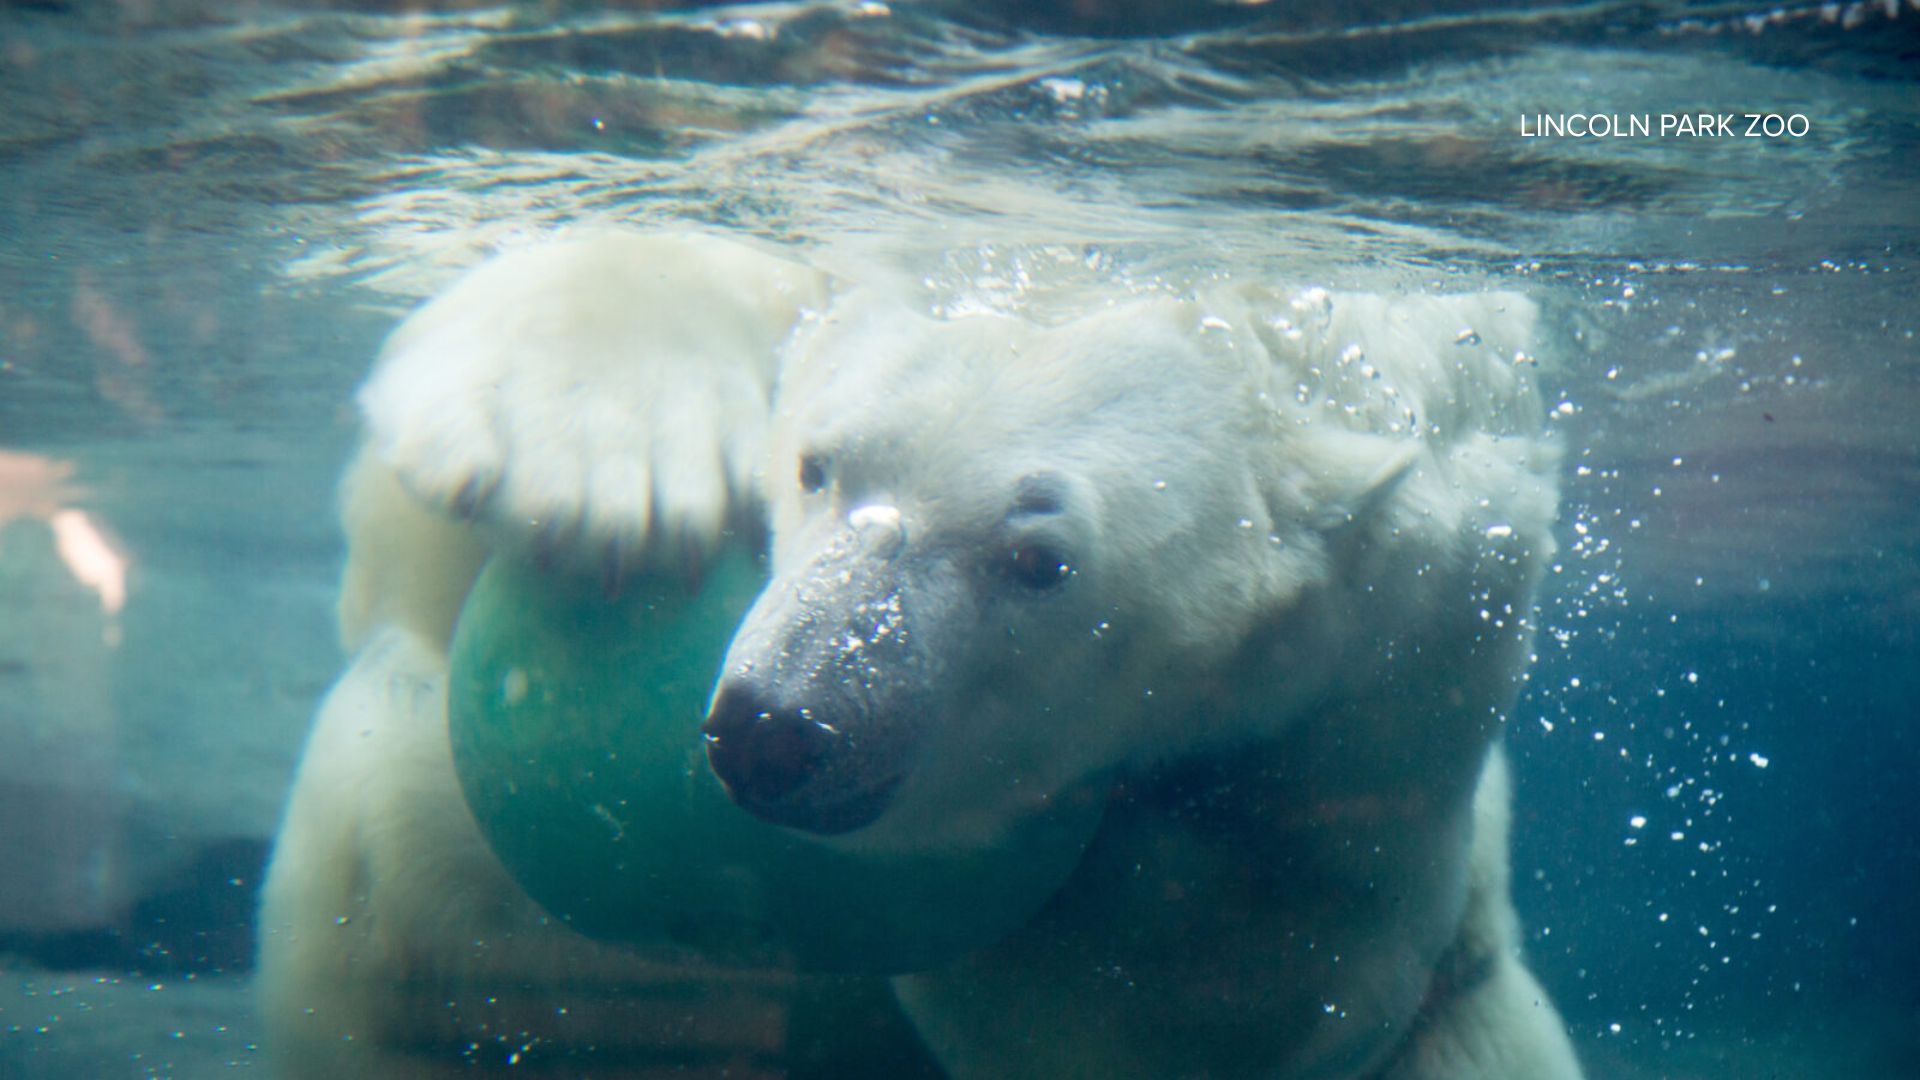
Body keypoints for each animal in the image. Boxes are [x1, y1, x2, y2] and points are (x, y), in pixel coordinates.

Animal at [257, 230, 1583, 1079]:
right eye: (817, 465)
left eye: (1039, 560)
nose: (780, 727)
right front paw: (597, 451)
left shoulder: (1419, 639)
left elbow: (1230, 990)